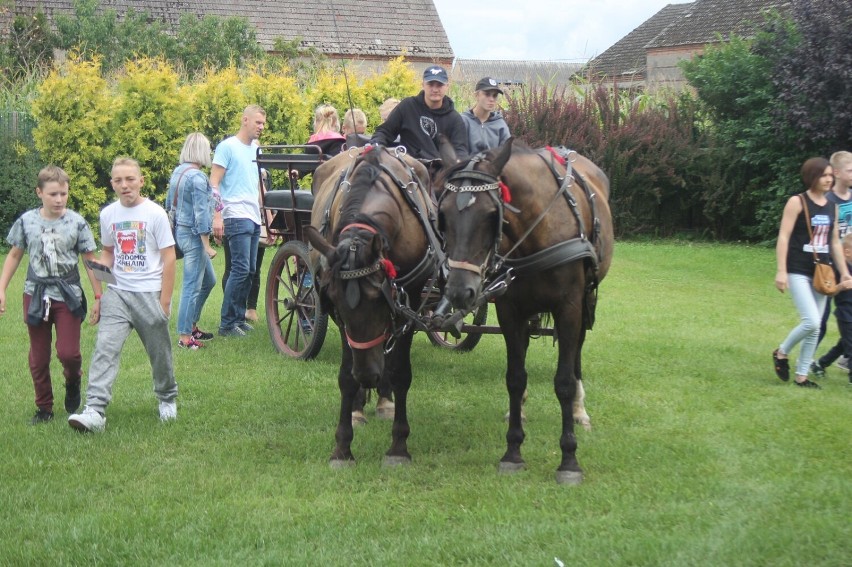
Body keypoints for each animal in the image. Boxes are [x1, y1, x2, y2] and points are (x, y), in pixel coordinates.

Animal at [304, 145, 440, 466]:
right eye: (336, 303)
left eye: (380, 299)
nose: (367, 376)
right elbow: (345, 375)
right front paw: (342, 447)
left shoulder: (409, 300)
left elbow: (400, 371)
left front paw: (399, 446)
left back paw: (384, 398)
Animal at [440, 138, 612, 484]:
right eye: (444, 214)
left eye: (491, 214)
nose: (459, 291)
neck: (538, 229)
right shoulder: (510, 310)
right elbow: (515, 377)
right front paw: (513, 451)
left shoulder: (569, 307)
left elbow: (563, 381)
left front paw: (569, 459)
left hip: (587, 299)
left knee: (577, 352)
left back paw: (579, 408)